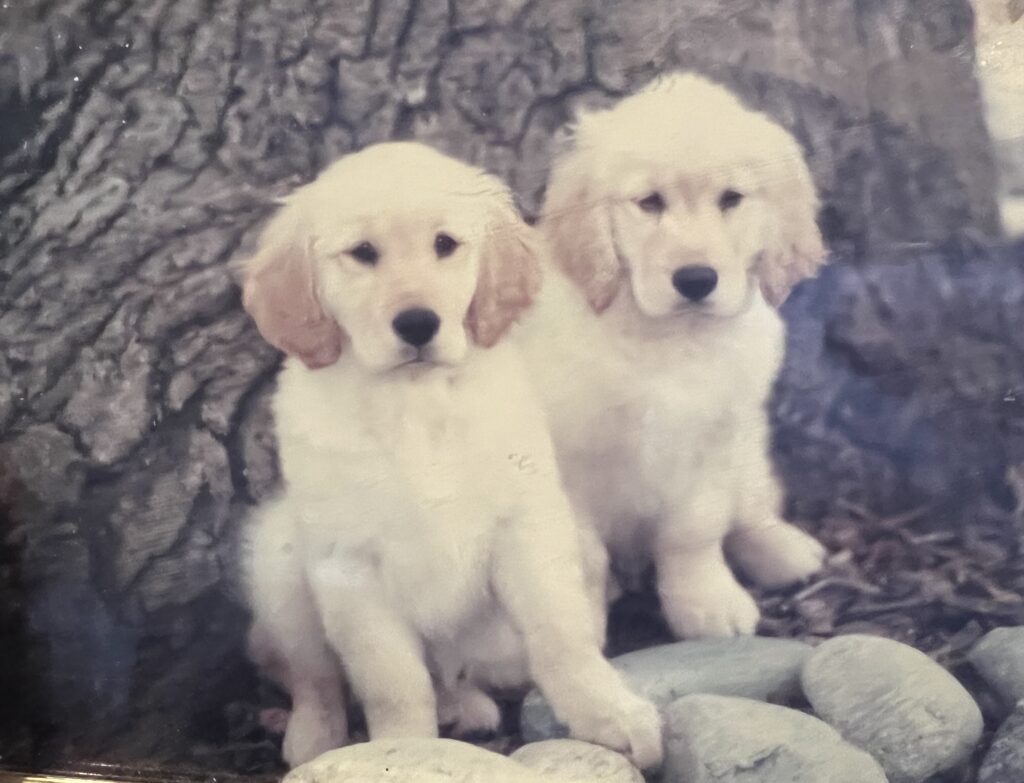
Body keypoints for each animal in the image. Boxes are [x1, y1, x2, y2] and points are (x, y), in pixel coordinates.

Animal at [238, 143, 659, 765]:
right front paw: (400, 752)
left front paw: (609, 712)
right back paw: (314, 736)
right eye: (362, 253)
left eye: (445, 244)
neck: (416, 403)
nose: (418, 324)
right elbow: (392, 683)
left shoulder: (526, 525)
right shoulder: (348, 565)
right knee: (312, 676)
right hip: (279, 560)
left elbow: (562, 636)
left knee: (465, 674)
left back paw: (466, 707)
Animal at [520, 70, 831, 638]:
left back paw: (785, 550)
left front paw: (706, 604)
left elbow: (695, 532)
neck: (670, 341)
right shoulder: (562, 462)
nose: (696, 280)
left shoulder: (711, 444)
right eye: (649, 202)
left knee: (752, 508)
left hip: (748, 446)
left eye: (731, 199)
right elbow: (582, 555)